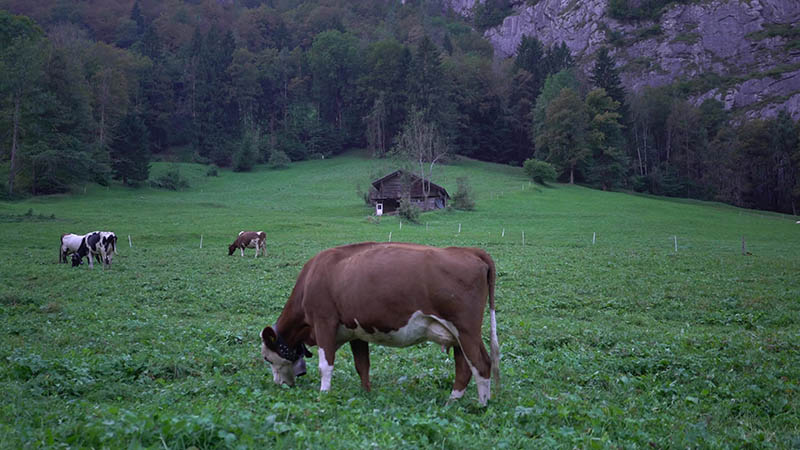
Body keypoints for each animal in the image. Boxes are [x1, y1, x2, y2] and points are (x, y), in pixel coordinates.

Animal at [260, 241, 500, 406]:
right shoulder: (355, 332)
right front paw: (366, 393)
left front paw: (324, 395)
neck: (312, 276)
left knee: (481, 363)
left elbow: (325, 366)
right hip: (458, 335)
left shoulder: (323, 322)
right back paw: (452, 401)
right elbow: (362, 365)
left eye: (267, 358)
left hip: (466, 330)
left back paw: (482, 405)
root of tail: (468, 250)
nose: (278, 384)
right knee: (464, 368)